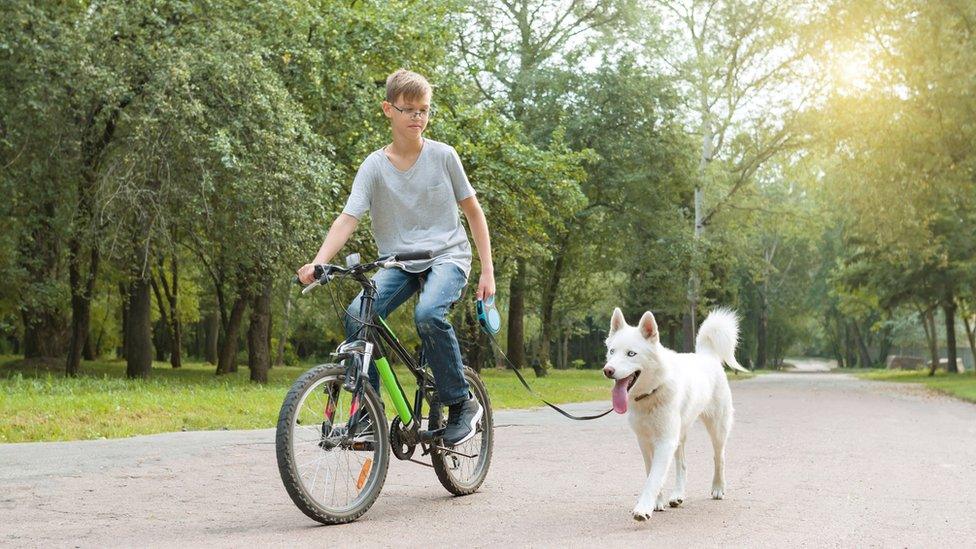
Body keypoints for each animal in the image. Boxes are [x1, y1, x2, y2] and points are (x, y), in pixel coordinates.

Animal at [604, 306, 748, 520]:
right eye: (612, 351)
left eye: (631, 353)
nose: (607, 370)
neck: (651, 393)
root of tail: (707, 355)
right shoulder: (644, 441)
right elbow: (651, 472)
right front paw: (657, 502)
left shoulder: (665, 441)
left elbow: (654, 478)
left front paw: (643, 508)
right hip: (680, 434)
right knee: (682, 464)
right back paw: (678, 495)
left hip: (717, 429)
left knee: (719, 458)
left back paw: (718, 488)